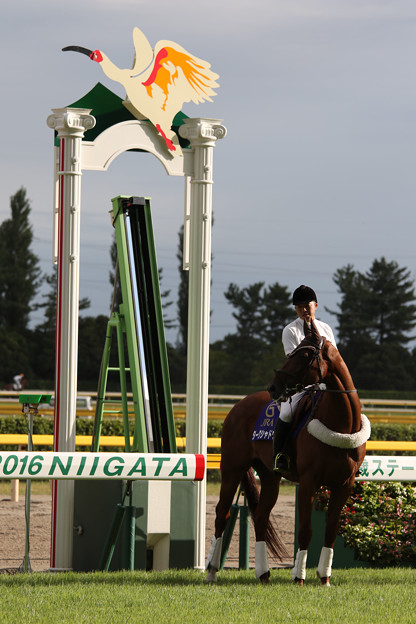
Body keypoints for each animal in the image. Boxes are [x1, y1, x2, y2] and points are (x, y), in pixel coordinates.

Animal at [206, 322, 372, 584]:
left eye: (304, 356)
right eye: (291, 353)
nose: (273, 387)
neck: (341, 424)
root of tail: (238, 406)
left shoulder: (344, 484)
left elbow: (331, 531)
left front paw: (324, 578)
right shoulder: (308, 482)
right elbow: (305, 531)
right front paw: (299, 576)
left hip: (269, 476)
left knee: (261, 517)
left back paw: (263, 573)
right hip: (232, 468)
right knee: (222, 513)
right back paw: (211, 570)